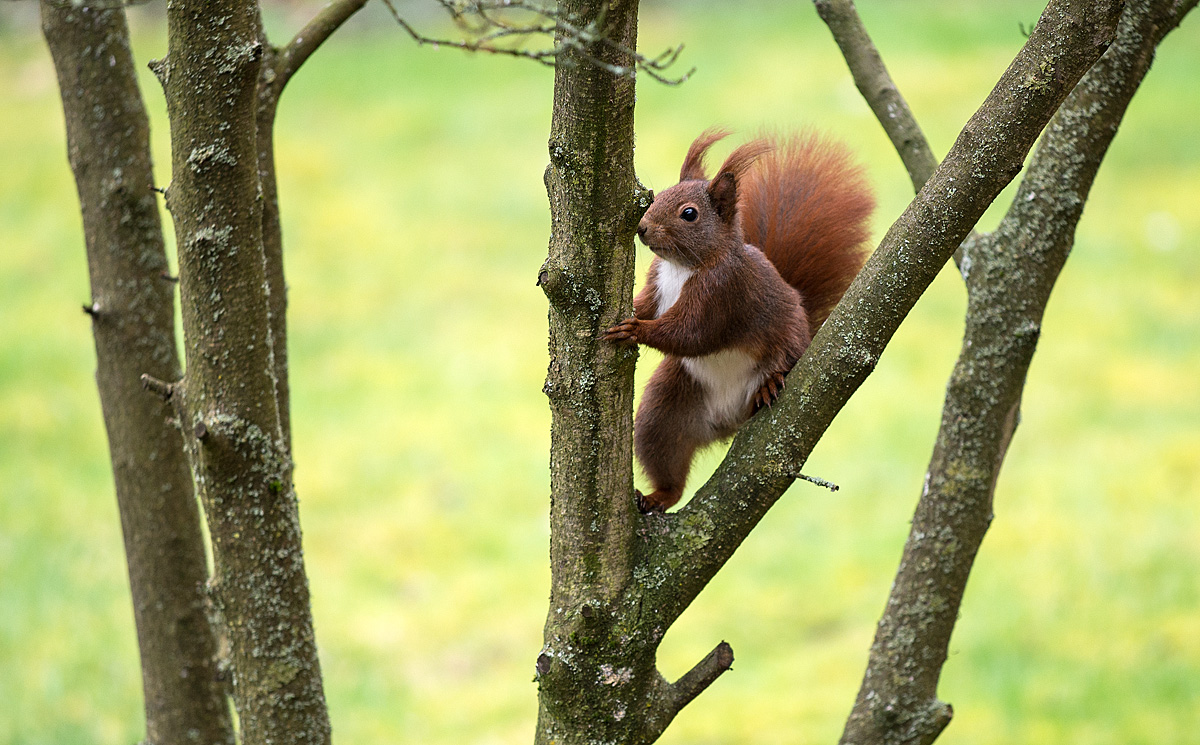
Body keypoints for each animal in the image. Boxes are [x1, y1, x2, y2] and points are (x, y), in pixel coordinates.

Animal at [602, 128, 875, 513]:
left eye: (689, 214)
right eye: (659, 196)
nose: (642, 228)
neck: (683, 267)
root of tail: (724, 422)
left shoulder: (723, 293)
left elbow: (691, 334)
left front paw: (635, 330)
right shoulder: (657, 284)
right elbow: (646, 306)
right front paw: (632, 317)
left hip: (784, 348)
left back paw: (770, 383)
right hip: (664, 410)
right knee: (669, 468)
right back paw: (655, 496)